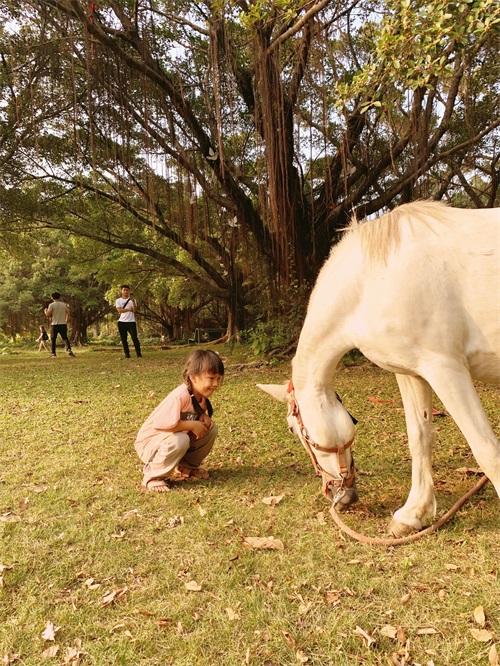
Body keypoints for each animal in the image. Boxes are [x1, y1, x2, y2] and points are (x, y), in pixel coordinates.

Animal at [258, 200, 500, 536]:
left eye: (294, 429)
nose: (341, 496)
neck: (370, 282)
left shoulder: (445, 368)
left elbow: (486, 448)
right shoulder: (412, 372)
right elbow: (420, 438)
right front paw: (413, 514)